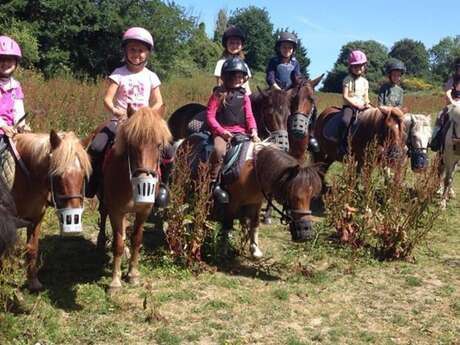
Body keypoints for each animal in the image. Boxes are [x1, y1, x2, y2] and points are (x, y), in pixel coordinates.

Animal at [11, 131, 91, 290]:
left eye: (83, 174)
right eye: (57, 175)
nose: (73, 219)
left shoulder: (36, 218)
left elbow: (32, 248)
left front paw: (33, 282)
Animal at [99, 106, 172, 288]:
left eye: (159, 145)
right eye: (131, 144)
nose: (144, 178)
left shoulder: (143, 211)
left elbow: (137, 239)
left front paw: (132, 274)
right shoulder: (116, 210)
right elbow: (118, 243)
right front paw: (115, 281)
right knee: (102, 214)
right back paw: (100, 241)